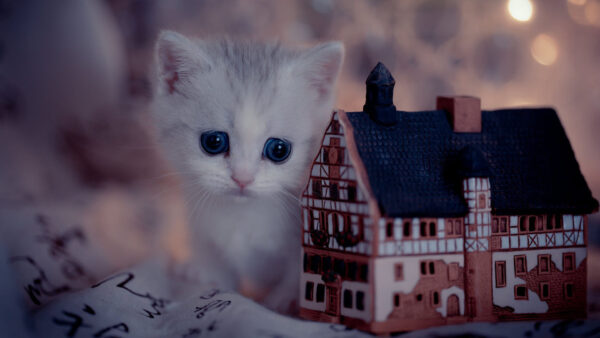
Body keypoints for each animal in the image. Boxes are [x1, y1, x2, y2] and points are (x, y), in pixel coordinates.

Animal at [152, 33, 344, 312]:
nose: (242, 178)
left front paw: (281, 303)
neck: (243, 216)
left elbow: (296, 279)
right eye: (213, 142)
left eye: (278, 149)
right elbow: (219, 277)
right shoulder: (203, 234)